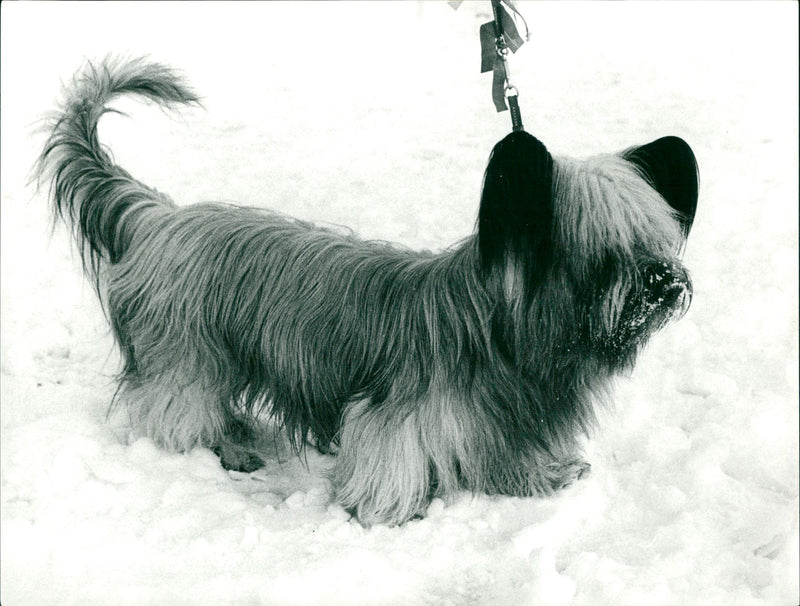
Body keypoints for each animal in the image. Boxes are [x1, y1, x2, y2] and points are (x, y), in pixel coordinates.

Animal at [37, 59, 696, 528]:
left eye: (655, 240)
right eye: (607, 253)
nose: (665, 283)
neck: (502, 330)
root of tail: (158, 216)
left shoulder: (504, 417)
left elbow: (506, 456)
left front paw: (545, 477)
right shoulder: (396, 413)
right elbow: (389, 454)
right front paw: (390, 513)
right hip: (189, 355)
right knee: (173, 409)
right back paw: (225, 449)